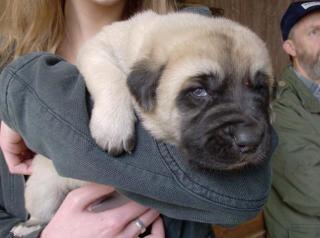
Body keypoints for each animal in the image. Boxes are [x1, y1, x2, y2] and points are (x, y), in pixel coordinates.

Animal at [12, 10, 272, 235]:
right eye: (199, 92)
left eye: (260, 90)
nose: (250, 139)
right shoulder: (98, 49)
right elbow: (112, 76)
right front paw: (113, 126)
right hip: (42, 188)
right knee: (43, 214)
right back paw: (27, 225)